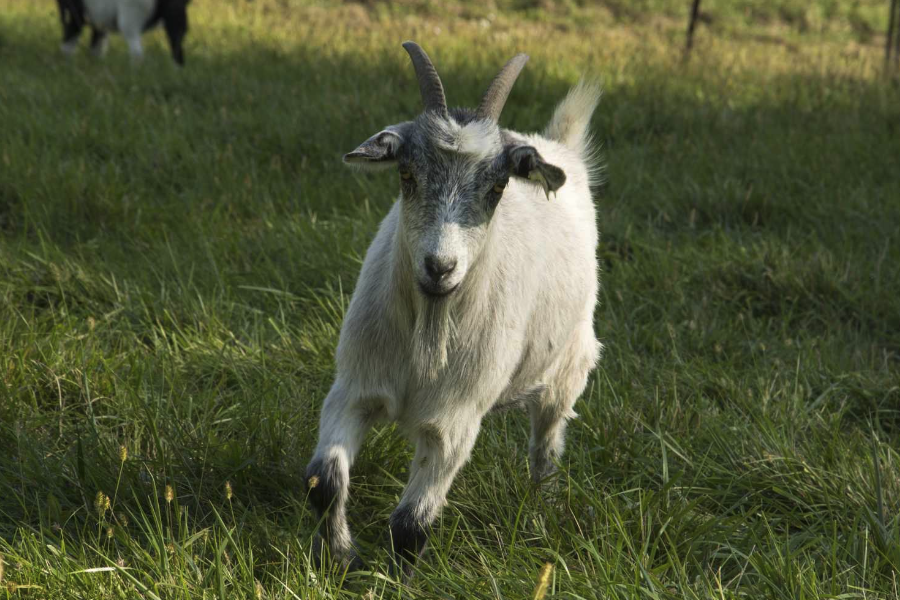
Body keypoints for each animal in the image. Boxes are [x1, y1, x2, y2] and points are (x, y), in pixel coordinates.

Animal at [306, 42, 600, 576]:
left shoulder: (455, 421)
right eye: (405, 174)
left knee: (545, 447)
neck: (428, 331)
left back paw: (540, 514)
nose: (439, 267)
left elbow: (410, 523)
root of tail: (556, 145)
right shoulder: (353, 387)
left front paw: (393, 579)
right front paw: (343, 558)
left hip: (569, 367)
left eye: (498, 188)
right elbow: (325, 481)